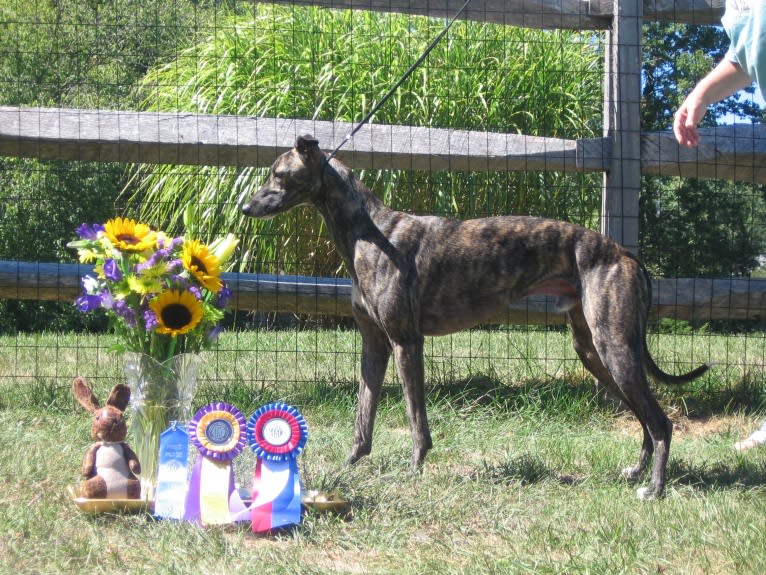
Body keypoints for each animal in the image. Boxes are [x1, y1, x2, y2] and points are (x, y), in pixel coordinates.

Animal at [243, 135, 712, 500]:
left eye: (278, 174)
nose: (246, 208)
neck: (371, 232)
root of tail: (625, 254)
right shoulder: (373, 345)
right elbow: (363, 417)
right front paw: (349, 466)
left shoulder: (406, 342)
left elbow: (416, 418)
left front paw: (414, 470)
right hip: (594, 350)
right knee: (644, 418)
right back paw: (636, 472)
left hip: (614, 346)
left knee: (661, 422)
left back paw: (655, 488)